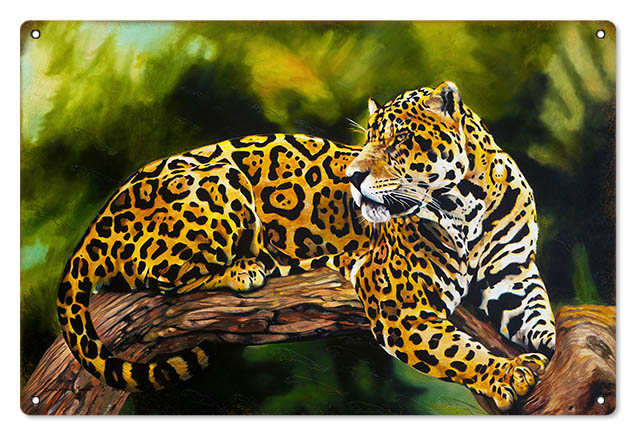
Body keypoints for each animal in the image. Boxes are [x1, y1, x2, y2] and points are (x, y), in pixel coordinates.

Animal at [56, 81, 555, 412]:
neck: (465, 205)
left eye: (397, 140)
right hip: (219, 179)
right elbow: (457, 351)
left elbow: (539, 316)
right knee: (157, 276)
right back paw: (246, 267)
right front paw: (505, 373)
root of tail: (100, 220)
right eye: (367, 139)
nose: (353, 176)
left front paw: (548, 348)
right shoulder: (400, 306)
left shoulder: (512, 274)